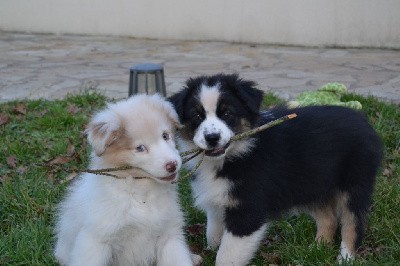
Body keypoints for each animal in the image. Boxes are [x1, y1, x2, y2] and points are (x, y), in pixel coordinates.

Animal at [54, 94, 202, 266]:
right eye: (140, 148)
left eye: (165, 136)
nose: (172, 165)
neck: (141, 191)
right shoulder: (97, 240)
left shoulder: (169, 235)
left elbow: (179, 259)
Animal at [170, 74, 384, 264]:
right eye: (197, 116)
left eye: (227, 114)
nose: (212, 138)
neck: (234, 156)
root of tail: (364, 121)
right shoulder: (218, 201)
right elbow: (213, 232)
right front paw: (208, 249)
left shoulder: (249, 209)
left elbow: (227, 255)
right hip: (312, 183)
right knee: (329, 218)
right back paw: (316, 249)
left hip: (355, 181)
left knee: (353, 223)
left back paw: (345, 258)